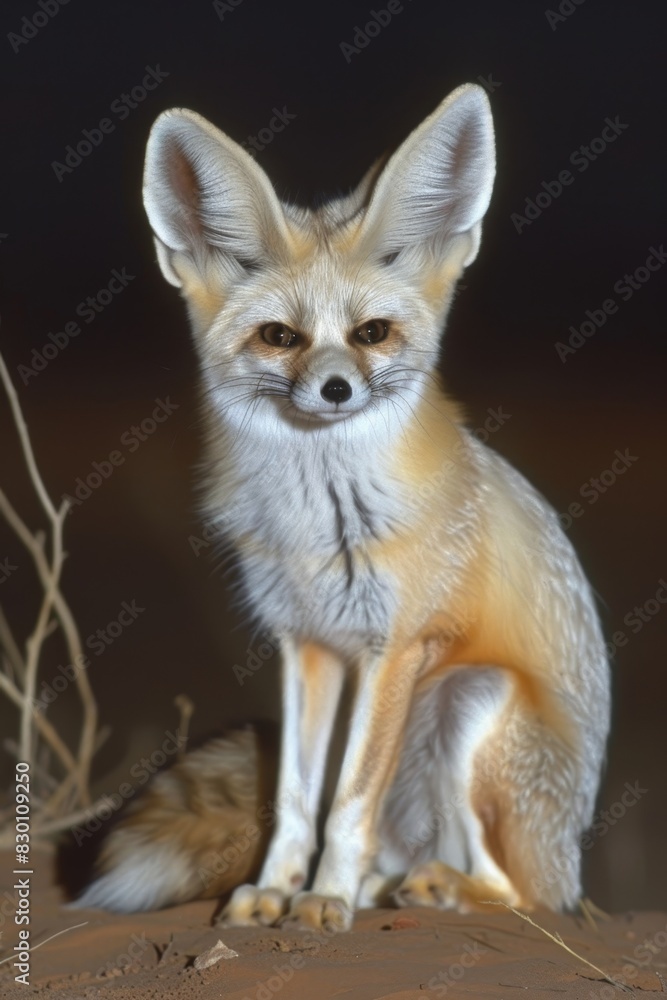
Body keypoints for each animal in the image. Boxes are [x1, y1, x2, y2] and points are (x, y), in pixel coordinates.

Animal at [73, 83, 610, 932]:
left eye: (370, 334)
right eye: (279, 337)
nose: (334, 389)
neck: (318, 525)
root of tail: (571, 859)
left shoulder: (395, 647)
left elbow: (348, 799)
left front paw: (322, 899)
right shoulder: (307, 645)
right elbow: (298, 796)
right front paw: (276, 891)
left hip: (468, 697)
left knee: (522, 895)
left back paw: (437, 890)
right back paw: (381, 888)